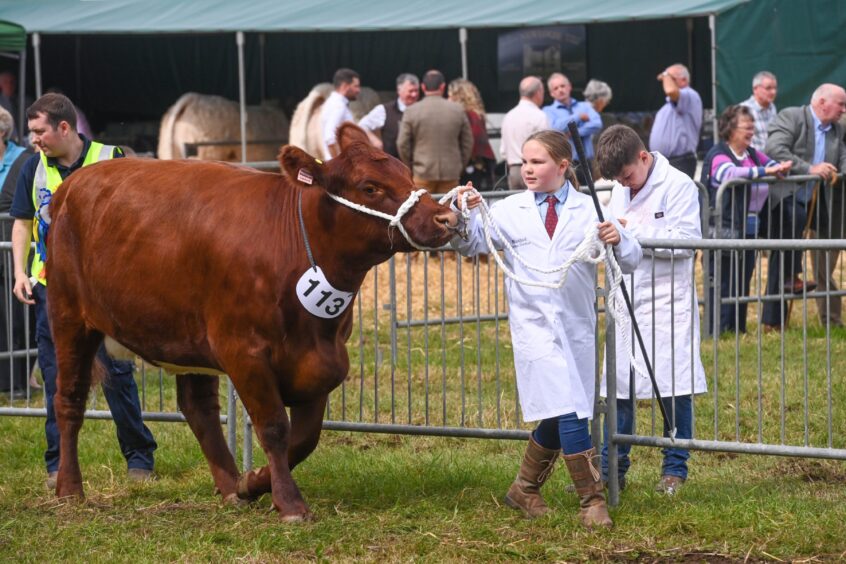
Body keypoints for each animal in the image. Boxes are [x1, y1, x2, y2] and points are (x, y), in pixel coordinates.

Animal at [45, 123, 460, 520]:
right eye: (369, 187)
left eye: (406, 172)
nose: (446, 217)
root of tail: (73, 183)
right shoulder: (244, 352)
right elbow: (274, 428)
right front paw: (289, 503)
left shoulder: (323, 360)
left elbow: (305, 437)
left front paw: (253, 482)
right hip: (69, 316)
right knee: (69, 397)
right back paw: (69, 488)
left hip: (185, 335)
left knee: (199, 408)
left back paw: (231, 487)